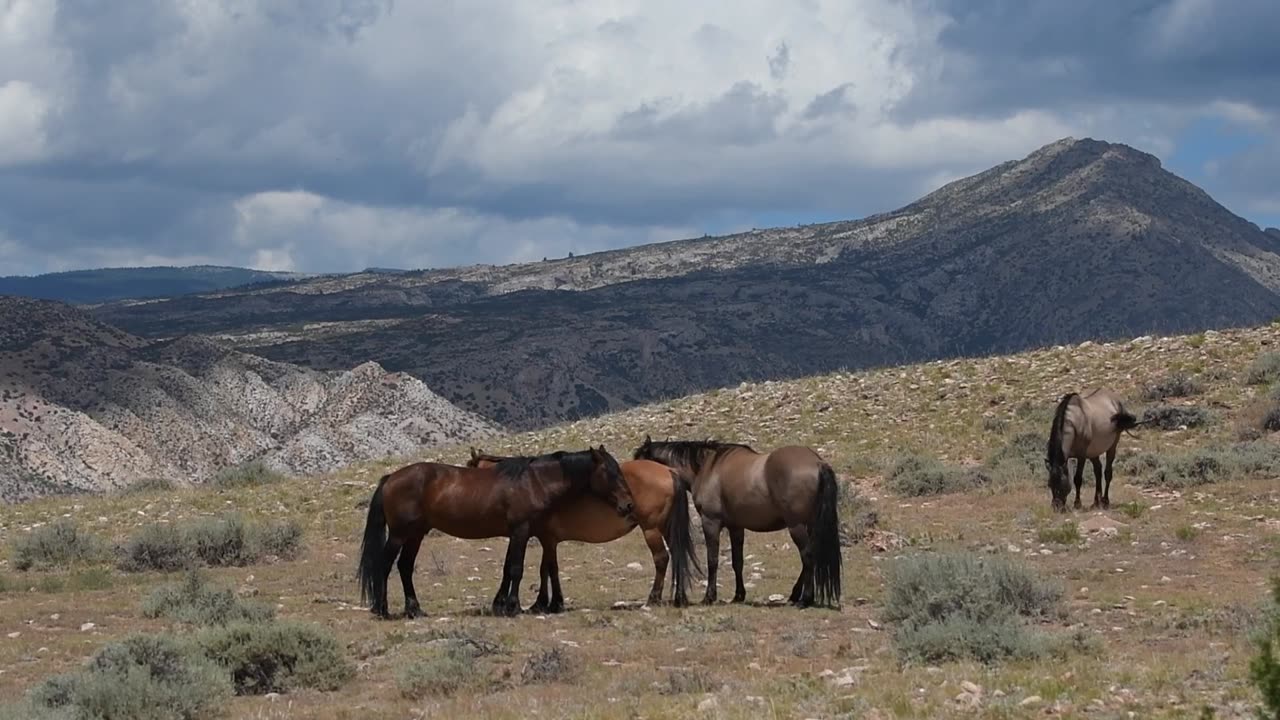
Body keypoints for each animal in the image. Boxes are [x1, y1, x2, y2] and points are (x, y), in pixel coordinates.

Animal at [355, 443, 634, 617]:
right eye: (611, 473)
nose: (628, 505)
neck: (534, 482)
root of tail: (390, 478)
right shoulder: (521, 531)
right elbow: (516, 569)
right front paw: (513, 606)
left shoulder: (518, 534)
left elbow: (508, 568)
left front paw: (502, 605)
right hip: (399, 535)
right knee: (385, 564)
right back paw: (382, 609)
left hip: (415, 535)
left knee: (404, 567)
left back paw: (414, 609)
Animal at [465, 445, 701, 607]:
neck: (533, 484)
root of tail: (669, 471)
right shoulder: (548, 540)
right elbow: (549, 568)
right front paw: (549, 602)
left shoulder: (545, 538)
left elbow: (546, 569)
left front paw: (544, 603)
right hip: (667, 528)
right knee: (678, 555)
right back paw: (679, 597)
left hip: (651, 529)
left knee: (662, 558)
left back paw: (653, 598)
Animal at [632, 435, 849, 607]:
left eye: (639, 461)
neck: (706, 467)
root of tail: (818, 464)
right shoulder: (736, 527)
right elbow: (738, 561)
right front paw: (738, 595)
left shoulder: (711, 522)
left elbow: (713, 560)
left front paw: (709, 597)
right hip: (810, 525)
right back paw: (795, 595)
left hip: (797, 526)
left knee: (808, 556)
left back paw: (805, 599)